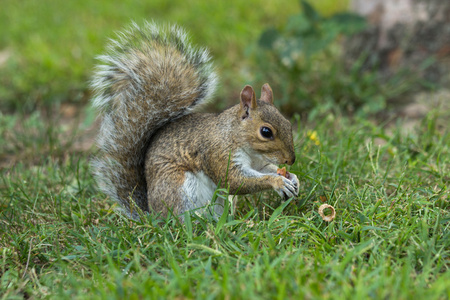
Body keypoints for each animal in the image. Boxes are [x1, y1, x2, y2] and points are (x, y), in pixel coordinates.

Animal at [90, 20, 298, 218]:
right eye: (266, 132)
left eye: (288, 124)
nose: (291, 160)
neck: (235, 136)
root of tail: (153, 215)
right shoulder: (218, 154)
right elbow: (234, 181)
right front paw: (278, 182)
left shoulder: (258, 162)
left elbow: (266, 169)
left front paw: (292, 178)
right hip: (178, 187)